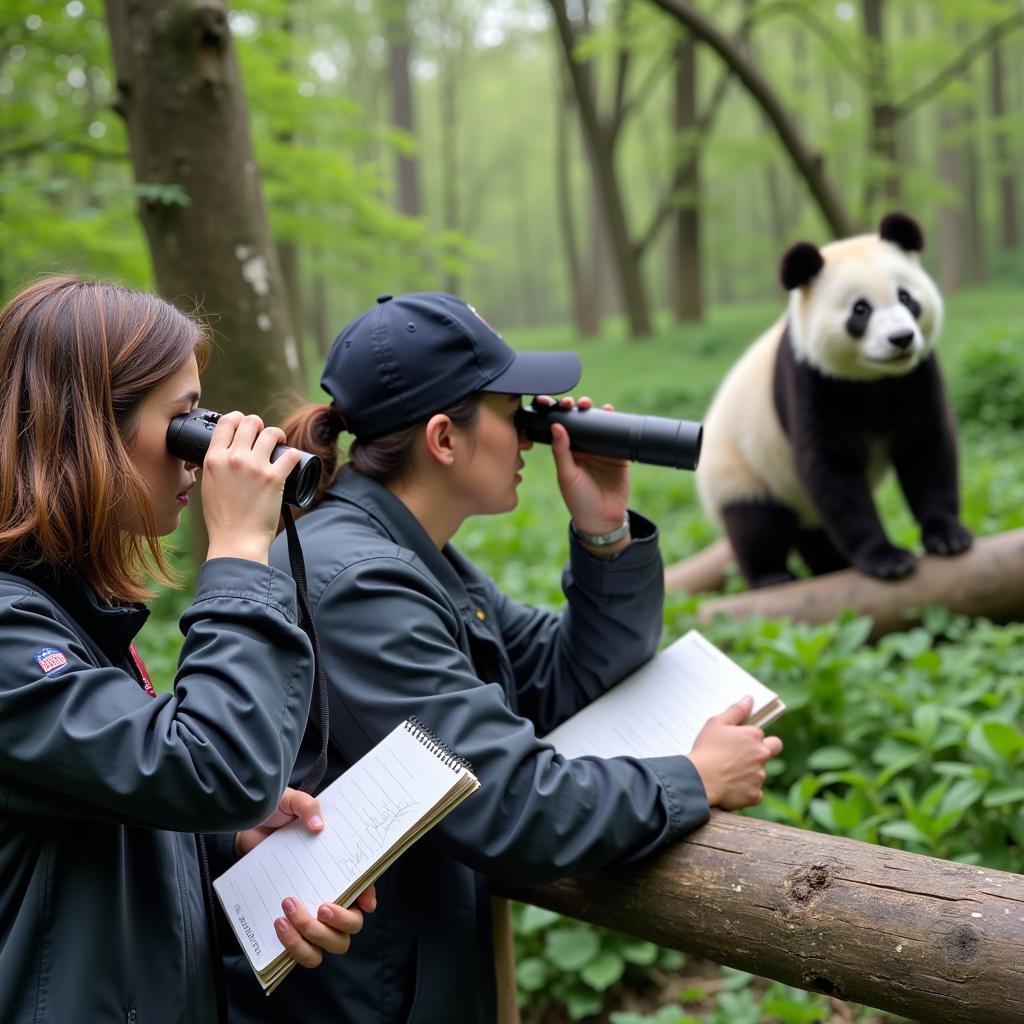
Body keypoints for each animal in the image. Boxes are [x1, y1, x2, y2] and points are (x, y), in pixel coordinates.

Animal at [700, 210, 970, 589]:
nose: (901, 338)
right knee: (755, 521)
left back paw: (831, 565)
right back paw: (772, 576)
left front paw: (947, 536)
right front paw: (887, 559)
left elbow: (924, 447)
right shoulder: (812, 379)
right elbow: (832, 467)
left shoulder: (914, 375)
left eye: (906, 298)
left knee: (814, 531)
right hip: (740, 464)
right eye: (860, 309)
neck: (873, 377)